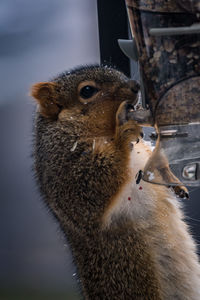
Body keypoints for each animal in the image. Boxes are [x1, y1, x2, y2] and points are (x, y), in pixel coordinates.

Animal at [30, 65, 200, 300]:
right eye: (87, 90)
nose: (135, 85)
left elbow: (157, 164)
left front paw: (177, 184)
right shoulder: (63, 170)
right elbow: (93, 187)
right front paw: (124, 133)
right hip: (134, 272)